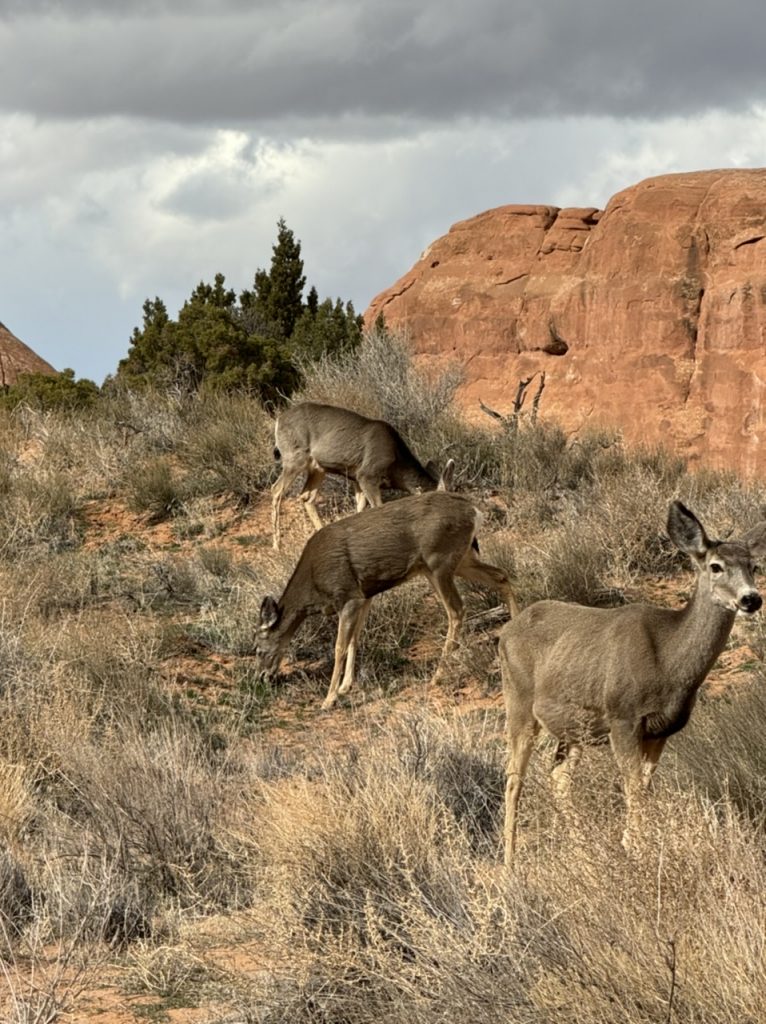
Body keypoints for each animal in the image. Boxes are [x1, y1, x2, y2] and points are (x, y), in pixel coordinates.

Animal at [253, 481, 518, 712]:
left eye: (257, 648)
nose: (261, 677)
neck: (312, 586)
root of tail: (474, 511)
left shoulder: (346, 594)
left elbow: (339, 646)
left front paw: (329, 699)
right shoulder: (364, 594)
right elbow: (354, 638)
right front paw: (345, 687)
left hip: (439, 562)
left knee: (457, 610)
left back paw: (438, 675)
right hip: (459, 560)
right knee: (501, 576)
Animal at [270, 399, 440, 548]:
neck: (397, 464)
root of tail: (278, 421)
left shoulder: (356, 477)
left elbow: (360, 507)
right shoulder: (367, 474)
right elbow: (377, 506)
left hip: (318, 468)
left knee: (306, 496)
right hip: (294, 457)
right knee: (276, 490)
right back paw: (277, 545)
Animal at [499, 499, 766, 868]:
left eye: (754, 565)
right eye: (715, 566)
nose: (751, 599)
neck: (668, 661)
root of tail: (505, 630)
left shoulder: (661, 729)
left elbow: (644, 786)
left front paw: (635, 845)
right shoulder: (622, 716)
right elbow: (634, 789)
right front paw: (635, 849)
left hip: (575, 727)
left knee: (558, 778)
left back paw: (583, 852)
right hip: (519, 700)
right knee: (513, 779)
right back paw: (509, 862)